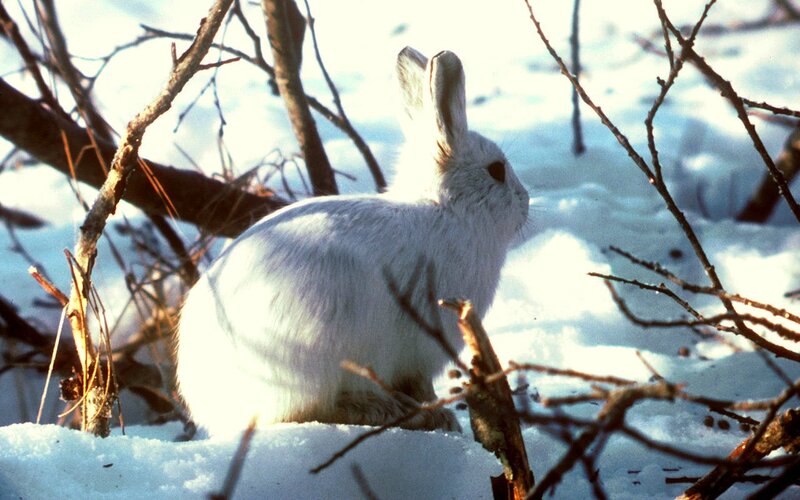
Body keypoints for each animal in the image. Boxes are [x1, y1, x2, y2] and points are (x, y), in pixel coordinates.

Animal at [175, 47, 530, 437]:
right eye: (496, 170)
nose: (526, 202)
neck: (447, 210)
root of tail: (217, 407)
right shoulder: (423, 346)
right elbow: (421, 383)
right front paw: (441, 415)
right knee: (309, 411)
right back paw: (388, 411)